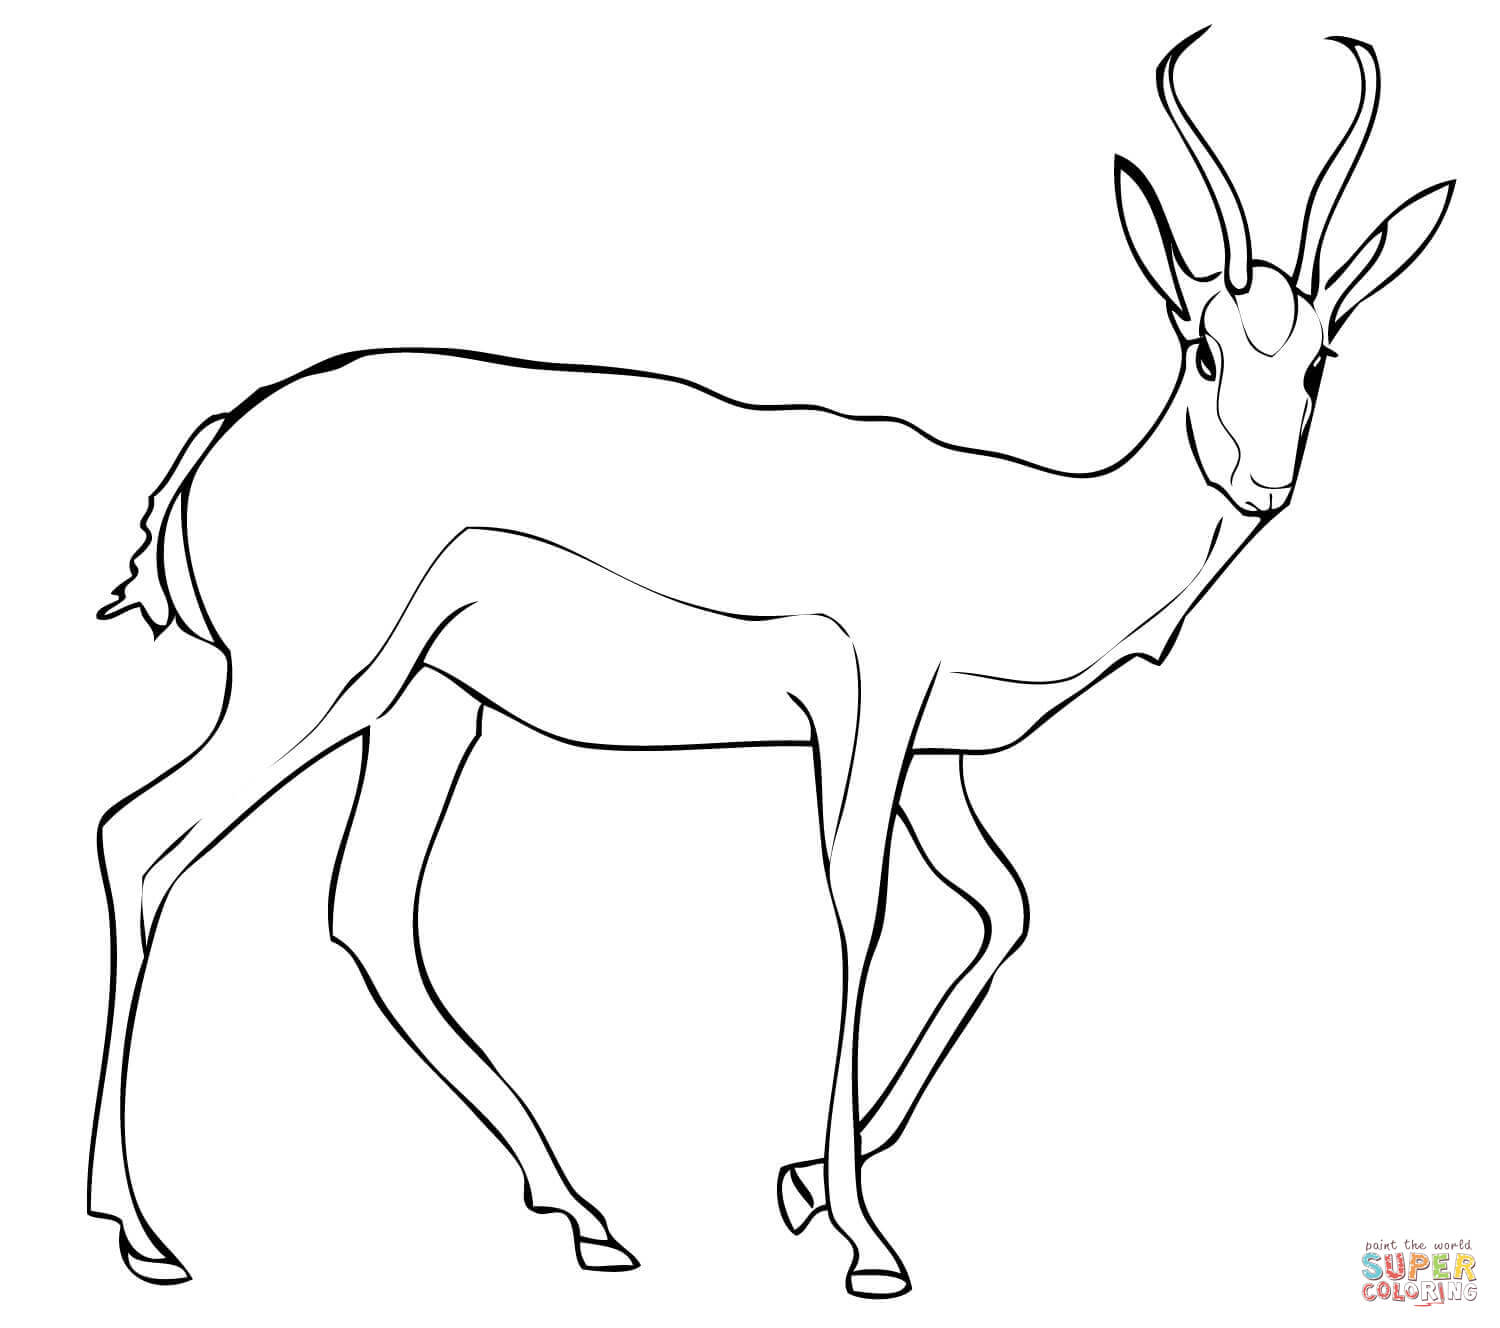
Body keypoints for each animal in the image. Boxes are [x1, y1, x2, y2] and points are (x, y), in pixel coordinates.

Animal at [88, 30, 1452, 1298]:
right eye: (1205, 349)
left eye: (1321, 356)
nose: (1264, 484)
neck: (1024, 535)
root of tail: (220, 435)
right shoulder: (869, 708)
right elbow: (860, 909)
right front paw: (865, 1240)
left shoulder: (935, 761)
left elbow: (1004, 909)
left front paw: (804, 1183)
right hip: (312, 688)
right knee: (138, 838)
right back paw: (143, 1231)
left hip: (427, 711)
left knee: (368, 910)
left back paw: (588, 1215)